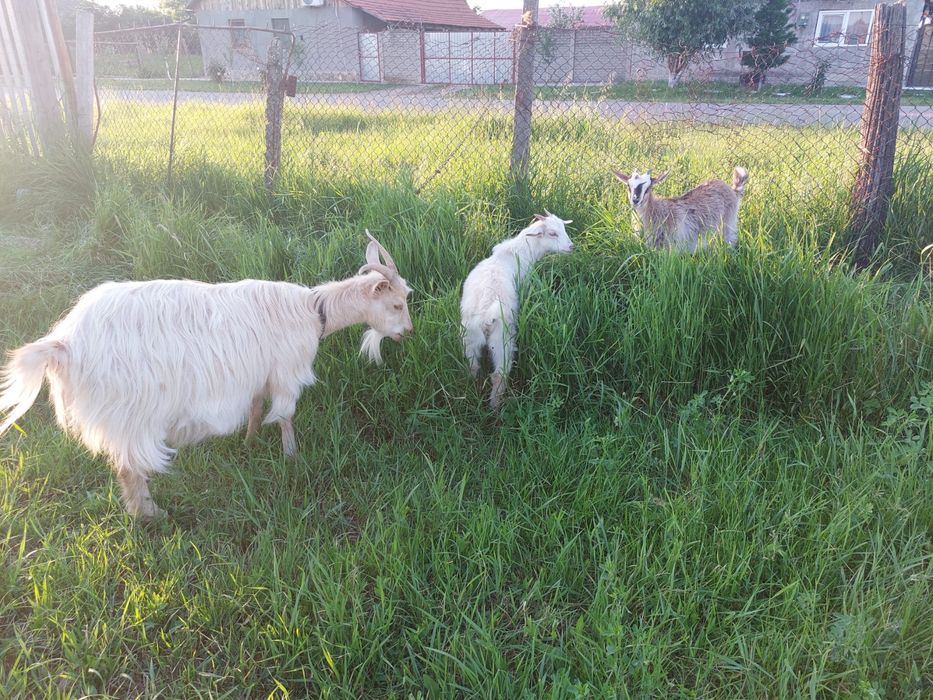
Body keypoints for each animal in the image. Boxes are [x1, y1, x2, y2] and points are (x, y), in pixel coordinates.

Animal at [0, 233, 412, 519]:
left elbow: (255, 408)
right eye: (396, 304)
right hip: (130, 408)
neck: (313, 312)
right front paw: (292, 458)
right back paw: (150, 514)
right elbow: (285, 417)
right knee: (127, 465)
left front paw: (249, 443)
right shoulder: (286, 372)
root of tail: (64, 342)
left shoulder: (257, 374)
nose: (407, 332)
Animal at [460, 213, 574, 409]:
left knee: (473, 365)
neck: (519, 251)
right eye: (552, 233)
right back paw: (496, 406)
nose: (571, 247)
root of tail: (486, 316)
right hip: (502, 340)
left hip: (470, 338)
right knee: (499, 374)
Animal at [613, 167, 748, 252]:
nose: (635, 200)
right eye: (628, 186)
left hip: (728, 223)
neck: (656, 210)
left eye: (648, 188)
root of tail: (733, 190)